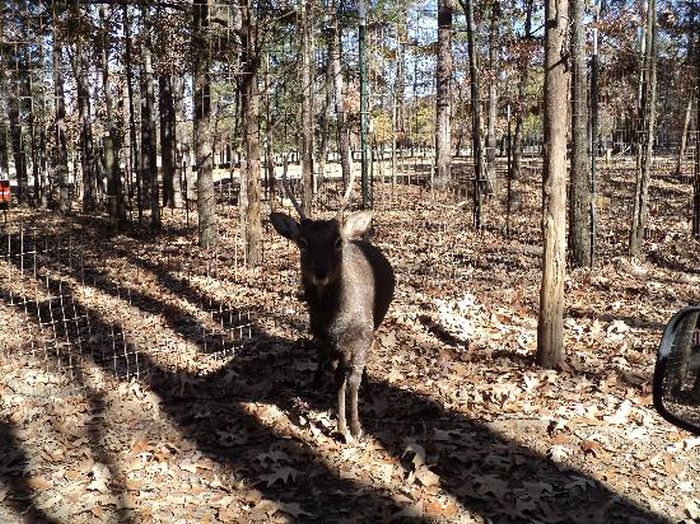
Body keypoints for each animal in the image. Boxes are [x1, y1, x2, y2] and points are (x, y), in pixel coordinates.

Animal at [270, 164, 394, 442]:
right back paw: (316, 380)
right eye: (302, 242)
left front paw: (356, 428)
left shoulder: (363, 336)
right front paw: (341, 426)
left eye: (338, 241)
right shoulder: (328, 341)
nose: (320, 271)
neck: (336, 320)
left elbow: (352, 380)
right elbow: (338, 378)